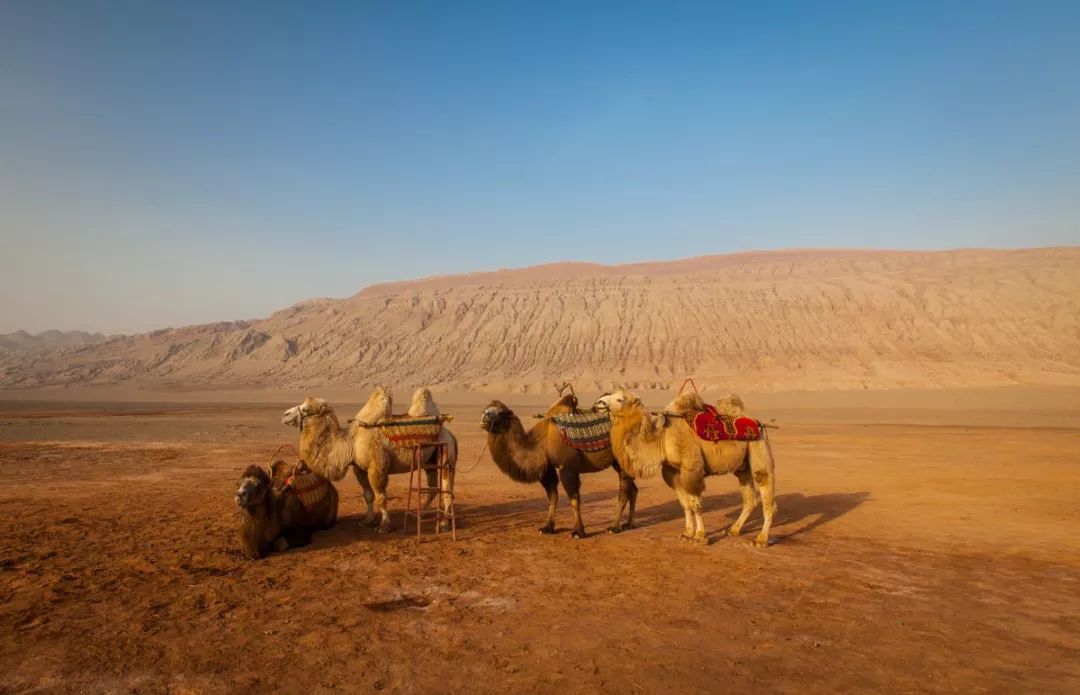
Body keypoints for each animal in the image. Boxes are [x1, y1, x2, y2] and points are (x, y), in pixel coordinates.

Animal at [280, 386, 457, 533]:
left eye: (306, 408)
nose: (285, 415)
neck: (350, 442)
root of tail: (451, 435)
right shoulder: (359, 468)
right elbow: (368, 495)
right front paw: (367, 521)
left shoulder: (376, 466)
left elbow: (381, 496)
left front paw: (384, 526)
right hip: (429, 461)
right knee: (433, 487)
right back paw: (425, 514)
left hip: (446, 453)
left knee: (447, 488)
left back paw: (444, 523)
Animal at [477, 390, 635, 537]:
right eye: (486, 409)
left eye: (501, 413)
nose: (484, 416)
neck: (541, 442)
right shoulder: (548, 469)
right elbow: (552, 498)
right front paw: (547, 528)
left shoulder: (567, 467)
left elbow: (573, 499)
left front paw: (578, 532)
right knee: (633, 490)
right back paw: (629, 524)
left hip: (622, 460)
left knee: (624, 493)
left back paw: (614, 527)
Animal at [591, 388, 777, 546]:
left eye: (620, 399)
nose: (598, 403)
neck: (662, 439)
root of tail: (758, 424)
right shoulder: (673, 471)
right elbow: (685, 504)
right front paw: (687, 533)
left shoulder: (691, 468)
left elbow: (695, 504)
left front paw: (700, 536)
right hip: (742, 467)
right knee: (749, 498)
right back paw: (734, 530)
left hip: (759, 447)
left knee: (766, 491)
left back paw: (761, 539)